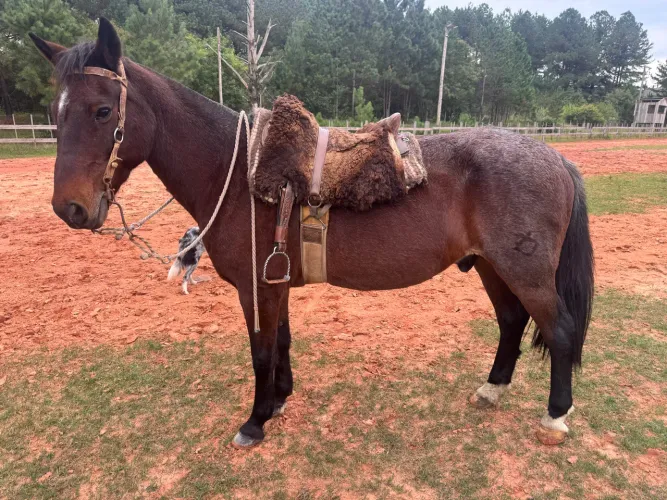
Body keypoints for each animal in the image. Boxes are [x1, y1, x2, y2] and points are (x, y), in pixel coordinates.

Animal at [30, 18, 593, 449]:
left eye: (104, 110)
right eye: (56, 114)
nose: (70, 209)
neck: (236, 172)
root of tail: (556, 158)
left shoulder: (257, 288)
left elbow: (261, 349)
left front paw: (254, 421)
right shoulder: (274, 283)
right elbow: (280, 341)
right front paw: (279, 400)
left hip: (524, 270)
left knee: (560, 330)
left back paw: (555, 417)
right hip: (493, 267)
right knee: (511, 322)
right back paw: (492, 390)